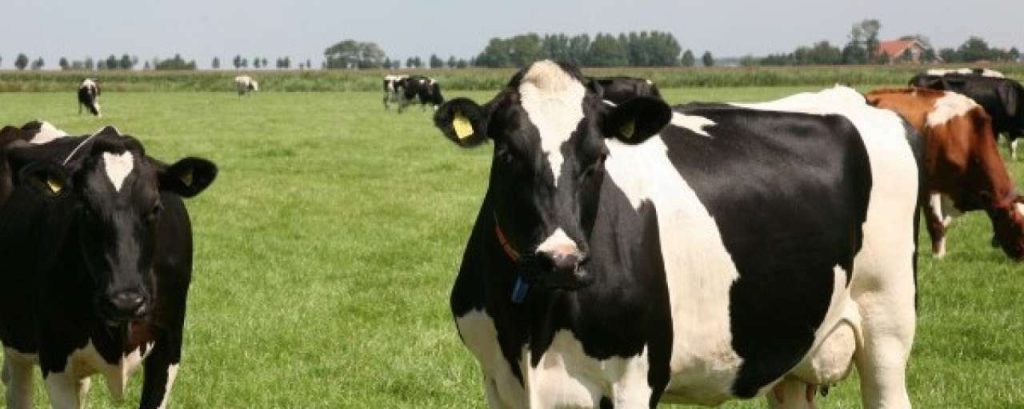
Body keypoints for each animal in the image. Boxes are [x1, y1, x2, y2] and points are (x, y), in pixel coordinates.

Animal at [432, 61, 919, 408]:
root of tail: (853, 98)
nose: (562, 261)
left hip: (888, 321)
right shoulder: (499, 380)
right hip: (796, 347)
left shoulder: (634, 379)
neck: (536, 325)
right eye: (508, 153)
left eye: (599, 156)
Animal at [866, 87, 1024, 260]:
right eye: (1014, 223)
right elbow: (936, 224)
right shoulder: (929, 187)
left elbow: (945, 225)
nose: (1021, 257)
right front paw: (938, 257)